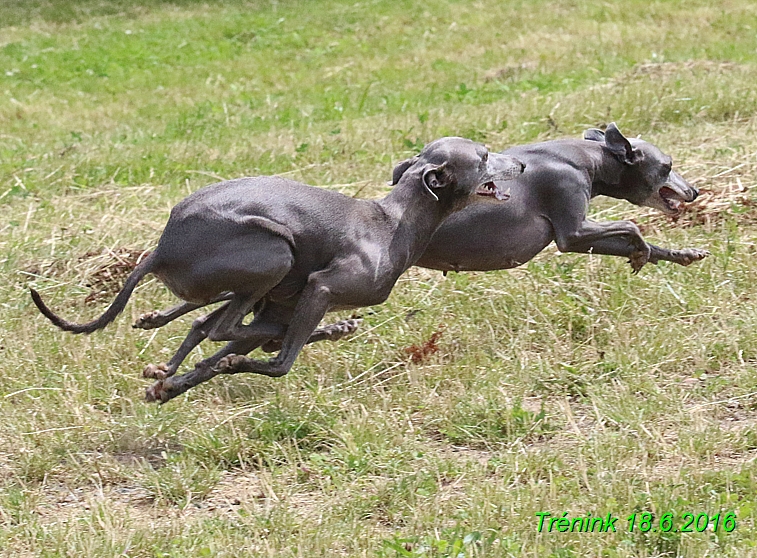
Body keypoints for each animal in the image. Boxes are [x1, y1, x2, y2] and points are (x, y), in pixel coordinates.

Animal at [31, 138, 524, 404]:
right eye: (483, 155)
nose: (520, 163)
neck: (394, 221)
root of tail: (161, 249)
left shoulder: (285, 304)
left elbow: (210, 362)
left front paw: (170, 386)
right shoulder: (320, 288)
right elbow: (278, 361)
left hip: (257, 278)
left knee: (209, 322)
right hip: (276, 253)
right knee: (220, 326)